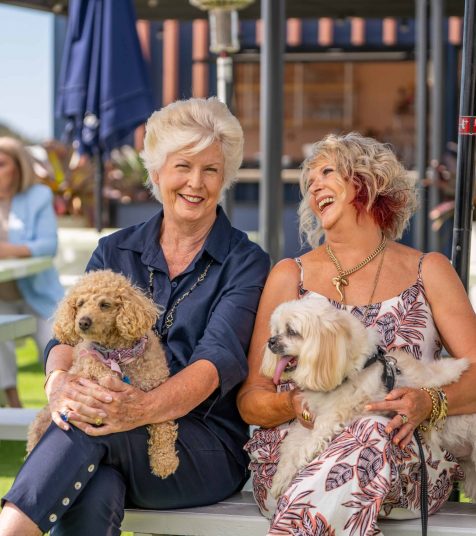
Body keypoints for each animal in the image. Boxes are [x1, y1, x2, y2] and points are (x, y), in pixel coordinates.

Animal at [262, 294, 476, 498]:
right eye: (276, 330)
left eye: (292, 331)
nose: (270, 341)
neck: (351, 369)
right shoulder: (310, 418)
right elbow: (291, 444)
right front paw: (281, 477)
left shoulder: (333, 416)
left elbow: (309, 442)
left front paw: (297, 461)